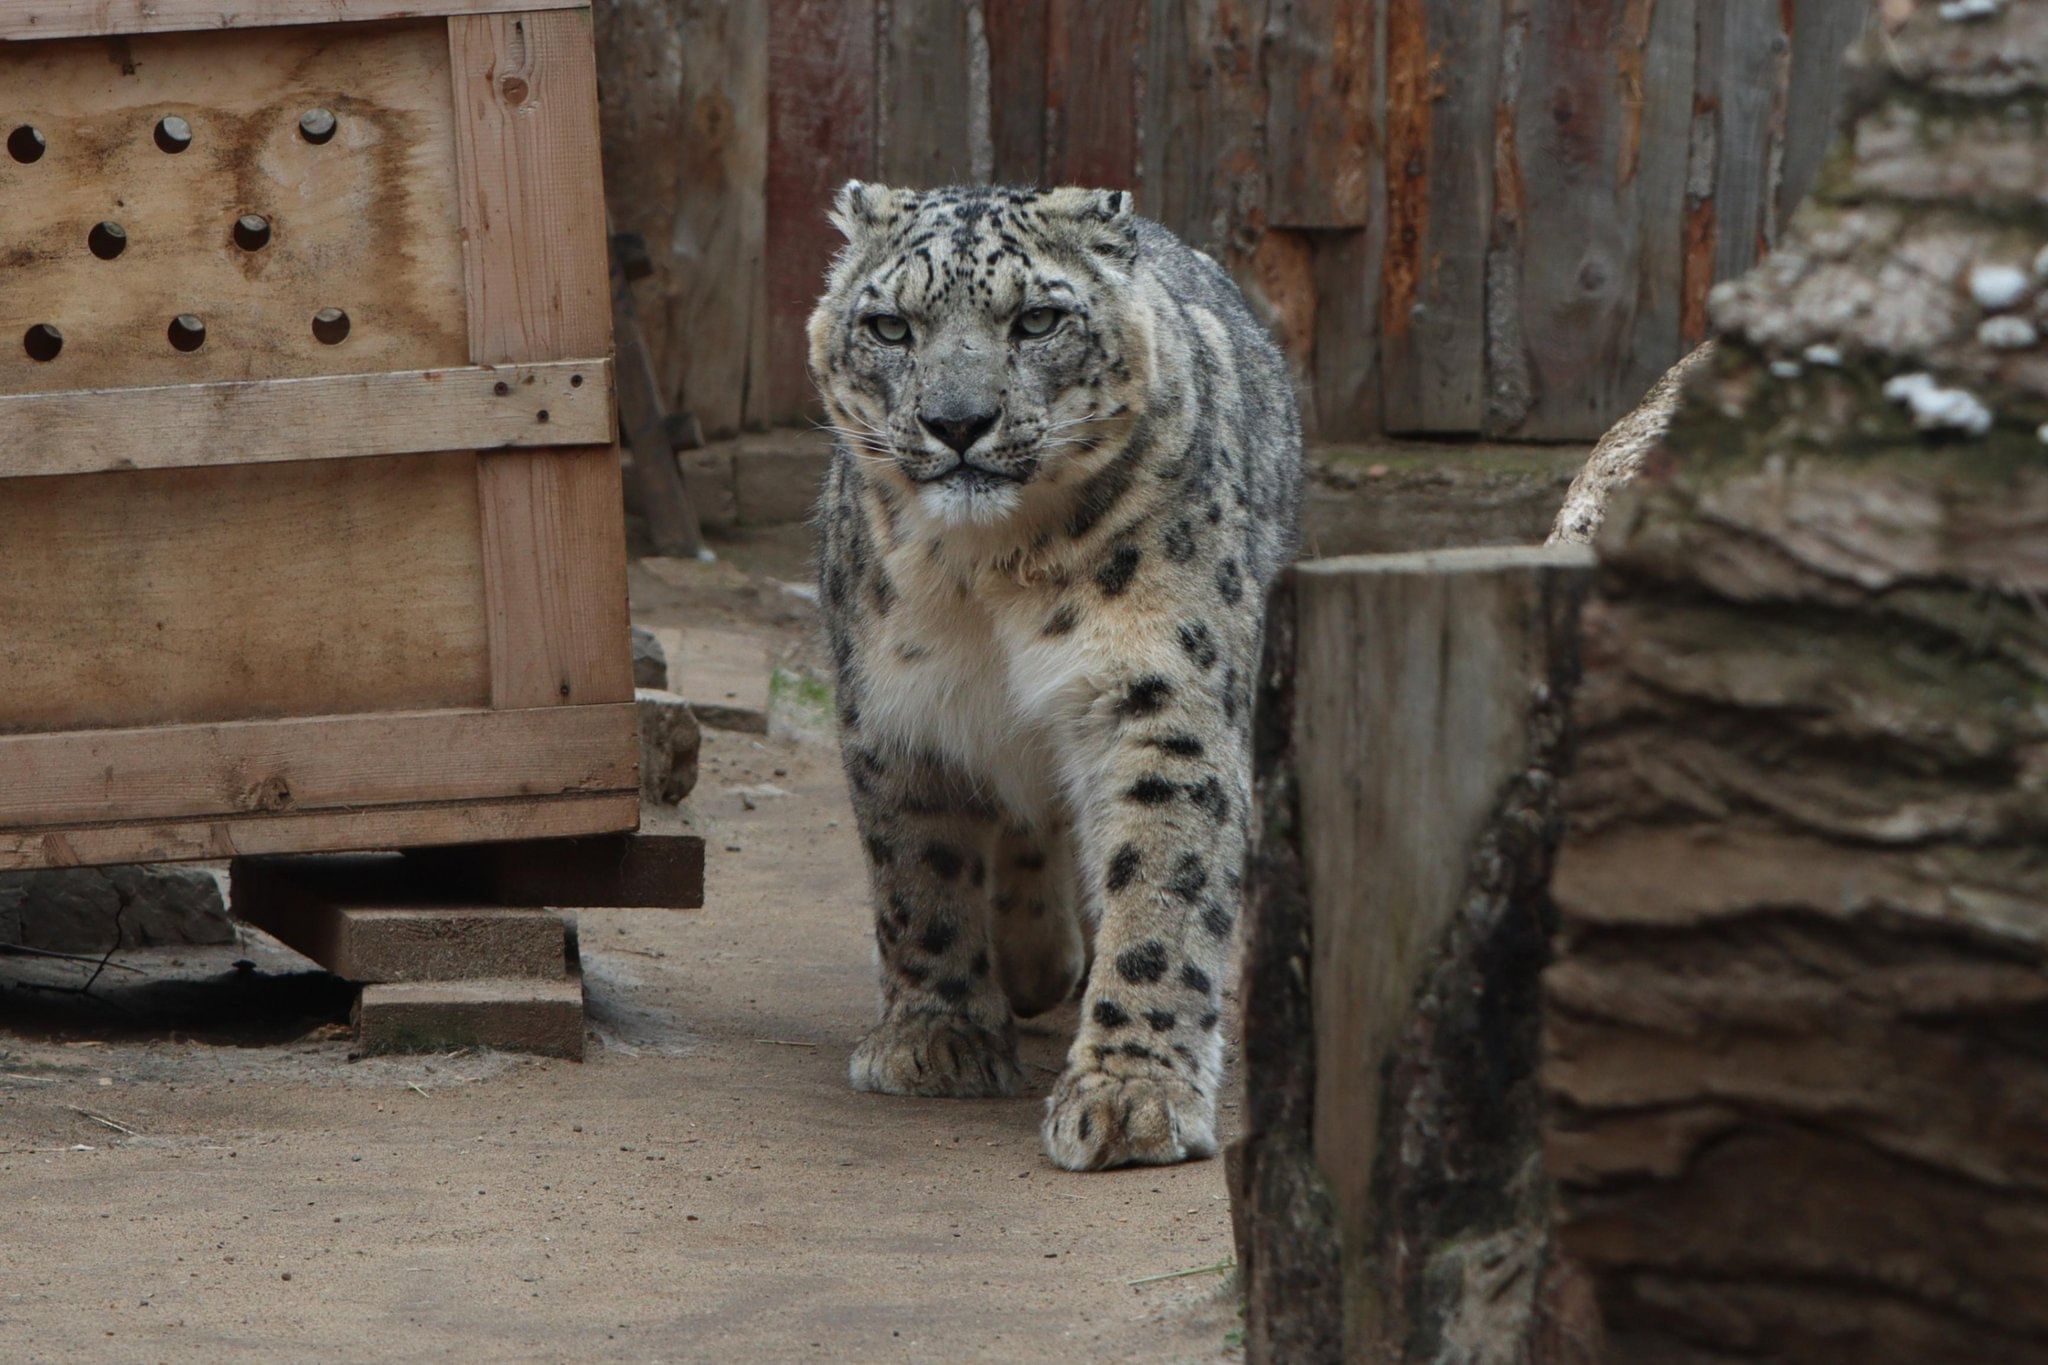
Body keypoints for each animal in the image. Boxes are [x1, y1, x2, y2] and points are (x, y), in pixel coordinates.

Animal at [806, 184, 1302, 1178]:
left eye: (1036, 319)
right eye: (889, 326)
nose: (958, 422)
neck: (986, 573)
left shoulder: (1160, 695)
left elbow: (1160, 890)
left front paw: (1129, 1095)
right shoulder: (896, 708)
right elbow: (917, 872)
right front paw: (935, 1037)